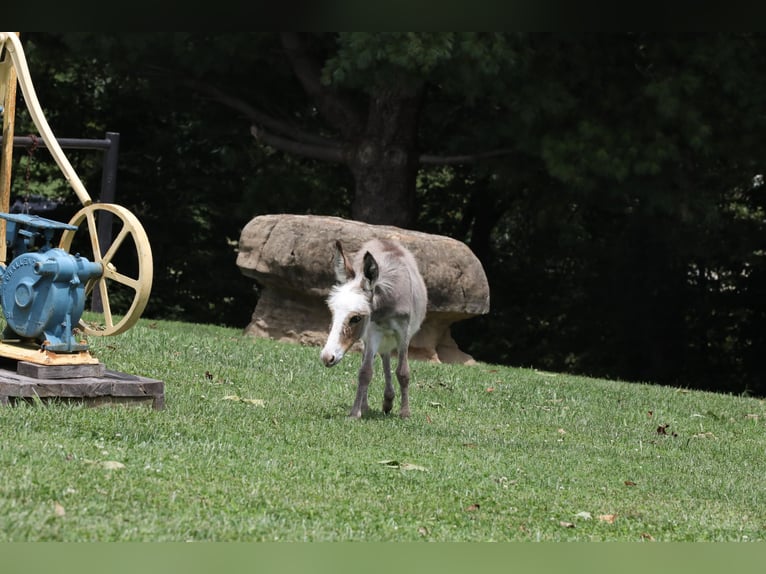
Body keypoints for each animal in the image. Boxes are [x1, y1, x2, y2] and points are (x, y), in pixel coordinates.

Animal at [322, 238, 432, 418]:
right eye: (332, 312)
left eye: (356, 318)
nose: (326, 357)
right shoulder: (373, 331)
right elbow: (365, 371)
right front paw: (355, 413)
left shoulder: (404, 333)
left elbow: (403, 372)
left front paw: (405, 413)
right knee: (378, 358)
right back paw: (376, 403)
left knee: (386, 356)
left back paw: (388, 401)